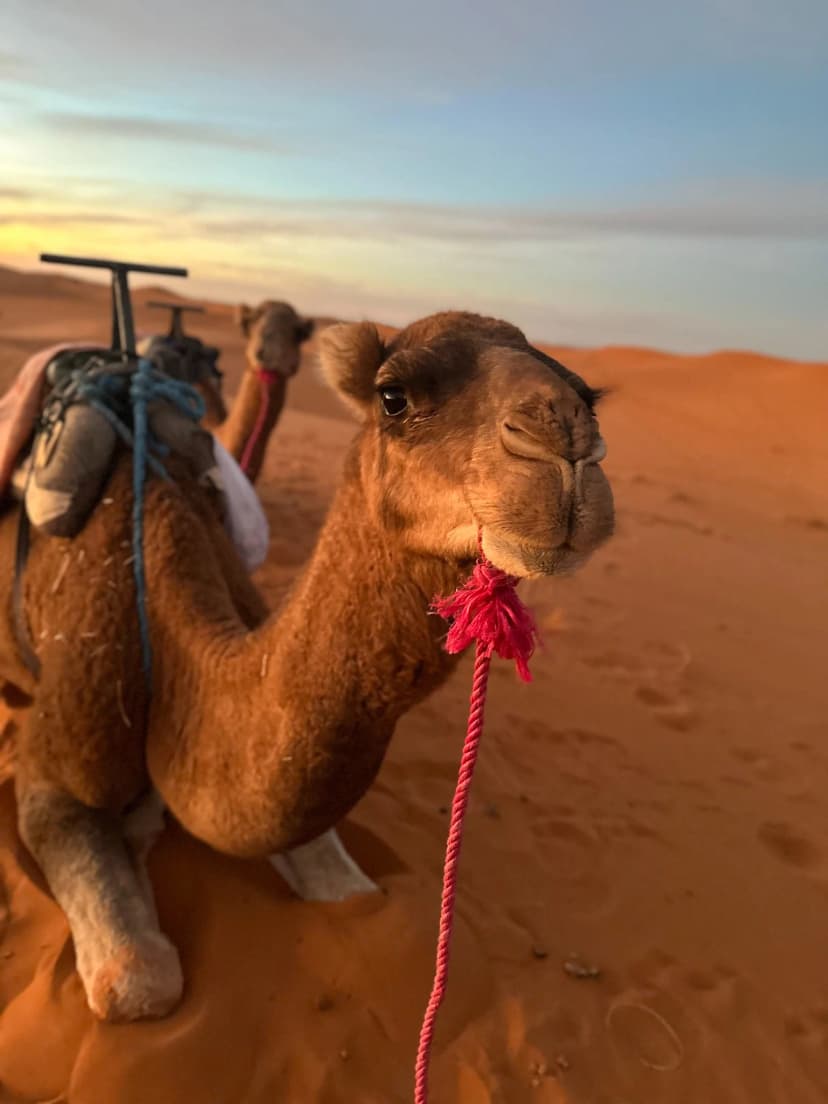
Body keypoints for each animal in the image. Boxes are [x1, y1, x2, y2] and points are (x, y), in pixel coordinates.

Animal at [0, 310, 614, 1023]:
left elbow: (349, 892)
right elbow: (139, 981)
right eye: (393, 396)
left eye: (590, 397)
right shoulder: (55, 777)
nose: (565, 442)